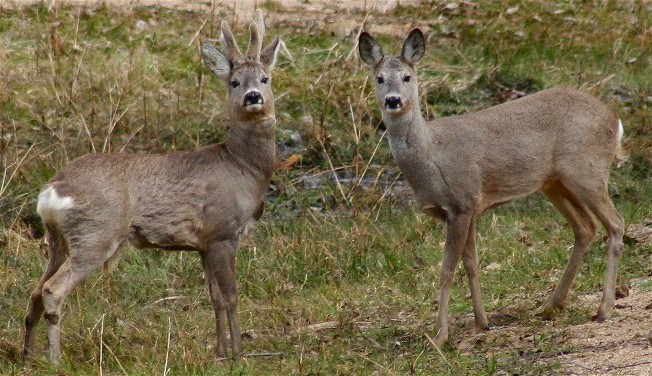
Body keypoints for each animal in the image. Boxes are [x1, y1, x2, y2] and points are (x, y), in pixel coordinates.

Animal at [21, 10, 282, 362]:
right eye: (234, 82)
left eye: (265, 79)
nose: (253, 97)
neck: (242, 168)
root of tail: (52, 190)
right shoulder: (222, 232)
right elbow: (231, 296)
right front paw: (238, 355)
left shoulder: (203, 243)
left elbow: (213, 297)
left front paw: (219, 351)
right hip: (96, 233)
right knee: (52, 289)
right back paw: (55, 359)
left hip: (58, 240)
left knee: (36, 290)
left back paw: (26, 356)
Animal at [360, 28, 624, 346]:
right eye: (379, 78)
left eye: (407, 77)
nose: (393, 100)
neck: (431, 155)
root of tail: (615, 119)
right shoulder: (469, 208)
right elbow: (471, 264)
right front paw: (481, 323)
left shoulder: (461, 203)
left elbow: (447, 270)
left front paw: (441, 334)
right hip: (554, 183)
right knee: (586, 227)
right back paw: (551, 306)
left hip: (588, 170)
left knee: (615, 223)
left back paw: (603, 309)